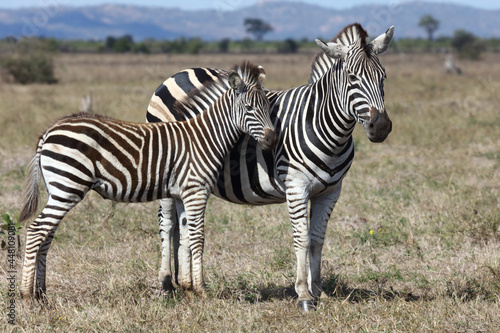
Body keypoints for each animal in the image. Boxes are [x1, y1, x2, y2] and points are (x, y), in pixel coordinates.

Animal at [18, 61, 278, 300]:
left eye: (268, 107)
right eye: (249, 107)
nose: (273, 139)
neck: (204, 137)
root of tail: (49, 131)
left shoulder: (182, 193)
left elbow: (185, 235)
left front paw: (188, 287)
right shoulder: (196, 190)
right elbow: (198, 237)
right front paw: (202, 289)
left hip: (59, 189)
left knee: (47, 234)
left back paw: (41, 292)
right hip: (68, 185)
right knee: (36, 230)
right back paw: (26, 294)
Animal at [148, 22, 394, 308]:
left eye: (383, 77)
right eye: (353, 78)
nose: (381, 127)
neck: (325, 127)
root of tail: (181, 72)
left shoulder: (331, 192)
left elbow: (317, 240)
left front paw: (319, 290)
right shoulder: (296, 187)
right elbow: (301, 239)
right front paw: (303, 294)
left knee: (181, 225)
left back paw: (180, 282)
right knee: (168, 224)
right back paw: (166, 283)